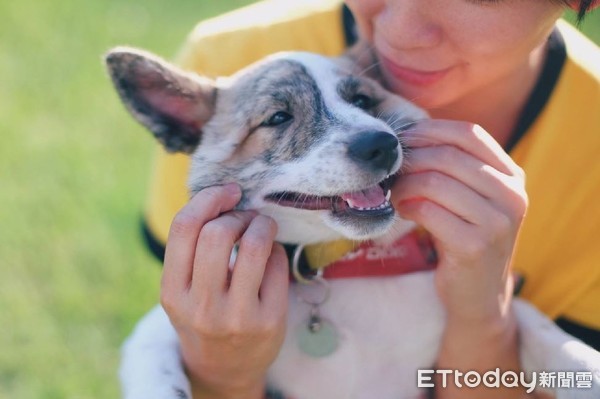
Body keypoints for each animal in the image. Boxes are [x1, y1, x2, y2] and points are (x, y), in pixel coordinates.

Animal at [106, 45, 600, 398]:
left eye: (363, 99)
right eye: (278, 117)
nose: (380, 145)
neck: (340, 267)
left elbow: (528, 318)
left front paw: (582, 365)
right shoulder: (167, 320)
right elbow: (153, 345)